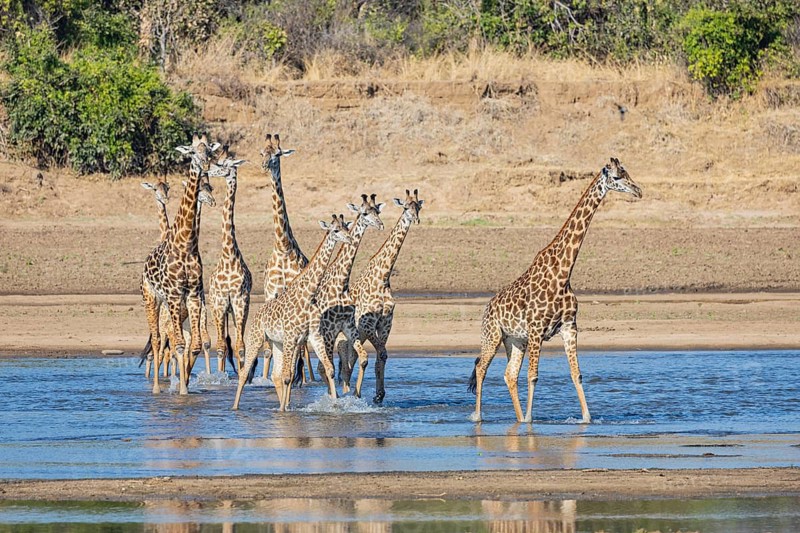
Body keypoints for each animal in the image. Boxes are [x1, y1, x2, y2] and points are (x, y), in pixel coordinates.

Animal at [141, 133, 219, 394]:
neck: (186, 243)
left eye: (209, 151)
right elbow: (179, 345)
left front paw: (185, 386)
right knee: (157, 341)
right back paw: (156, 387)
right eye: (192, 151)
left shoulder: (194, 294)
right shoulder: (175, 295)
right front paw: (182, 391)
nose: (205, 163)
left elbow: (194, 345)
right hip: (151, 298)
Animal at [232, 214, 354, 411]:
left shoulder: (313, 335)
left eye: (346, 227)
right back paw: (235, 408)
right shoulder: (291, 336)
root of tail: (258, 313)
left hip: (277, 343)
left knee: (275, 374)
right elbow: (288, 376)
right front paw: (283, 410)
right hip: (256, 338)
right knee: (245, 372)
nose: (349, 239)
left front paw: (335, 404)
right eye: (336, 230)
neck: (308, 295)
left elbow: (329, 369)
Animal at [312, 194, 385, 394]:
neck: (341, 285)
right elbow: (328, 367)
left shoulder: (348, 326)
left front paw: (355, 395)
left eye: (377, 211)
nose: (381, 224)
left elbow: (363, 358)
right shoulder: (329, 330)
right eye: (365, 212)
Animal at [339, 189, 424, 404]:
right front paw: (365, 394)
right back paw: (346, 392)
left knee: (350, 361)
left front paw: (379, 395)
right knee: (343, 362)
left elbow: (382, 356)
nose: (416, 219)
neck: (383, 277)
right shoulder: (367, 324)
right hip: (344, 337)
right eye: (405, 207)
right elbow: (379, 353)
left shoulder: (385, 323)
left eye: (418, 207)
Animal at [468, 158, 642, 423]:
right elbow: (533, 376)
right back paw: (478, 416)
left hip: (515, 340)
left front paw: (586, 418)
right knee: (481, 368)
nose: (638, 191)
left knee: (509, 375)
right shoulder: (537, 330)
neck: (563, 273)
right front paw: (530, 420)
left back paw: (517, 418)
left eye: (627, 173)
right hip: (492, 335)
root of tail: (487, 308)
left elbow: (576, 374)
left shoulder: (569, 326)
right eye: (617, 177)